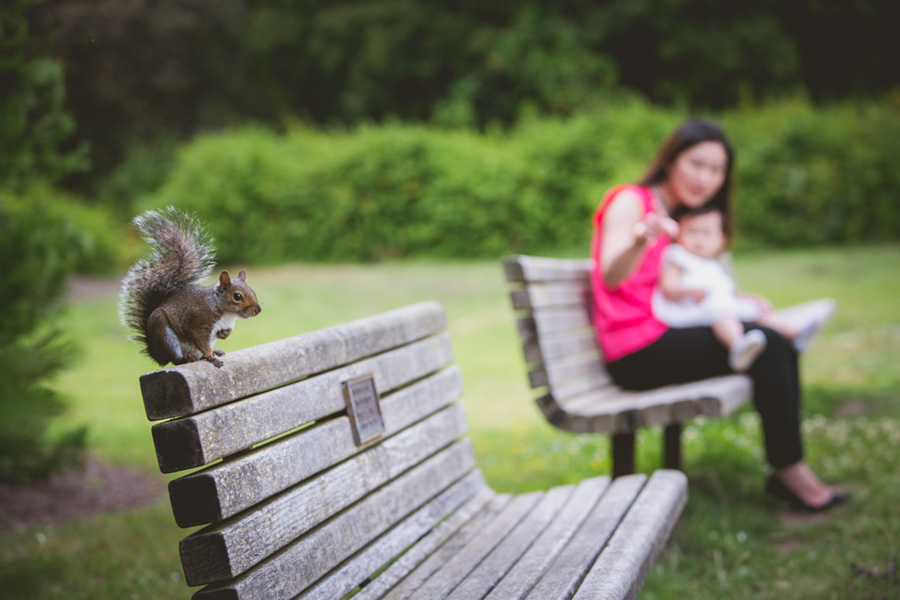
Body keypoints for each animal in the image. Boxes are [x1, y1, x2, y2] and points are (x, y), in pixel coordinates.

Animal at [118, 207, 262, 370]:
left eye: (253, 291)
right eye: (237, 296)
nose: (258, 310)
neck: (226, 314)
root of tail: (156, 354)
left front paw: (223, 336)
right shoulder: (197, 323)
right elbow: (201, 342)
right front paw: (211, 357)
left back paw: (215, 351)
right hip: (165, 333)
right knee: (175, 359)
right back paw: (188, 358)